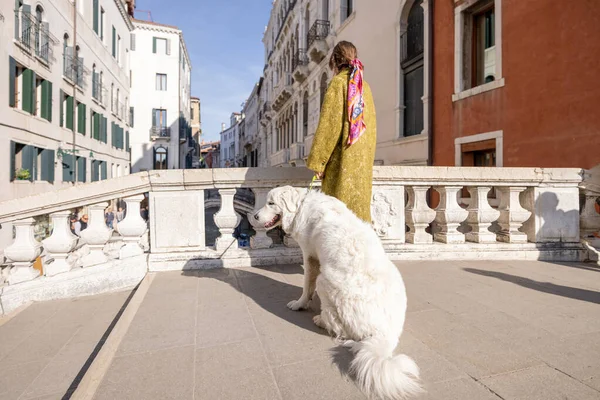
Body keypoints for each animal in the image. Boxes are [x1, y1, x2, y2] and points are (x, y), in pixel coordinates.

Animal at [253, 188, 422, 400]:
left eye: (271, 203)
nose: (254, 216)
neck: (301, 205)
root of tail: (385, 333)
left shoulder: (310, 256)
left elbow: (306, 286)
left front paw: (299, 304)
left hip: (325, 281)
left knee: (339, 327)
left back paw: (320, 320)